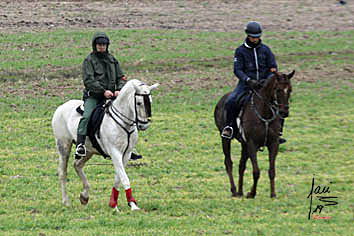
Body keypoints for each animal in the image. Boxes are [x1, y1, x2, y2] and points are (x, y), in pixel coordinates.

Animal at [51, 79, 159, 210]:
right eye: (138, 103)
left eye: (150, 101)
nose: (144, 125)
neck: (123, 123)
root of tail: (61, 107)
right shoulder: (115, 153)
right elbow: (124, 178)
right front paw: (132, 205)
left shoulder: (126, 154)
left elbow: (118, 178)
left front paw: (114, 203)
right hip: (63, 146)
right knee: (63, 172)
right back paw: (66, 202)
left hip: (89, 150)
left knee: (77, 165)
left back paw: (84, 196)